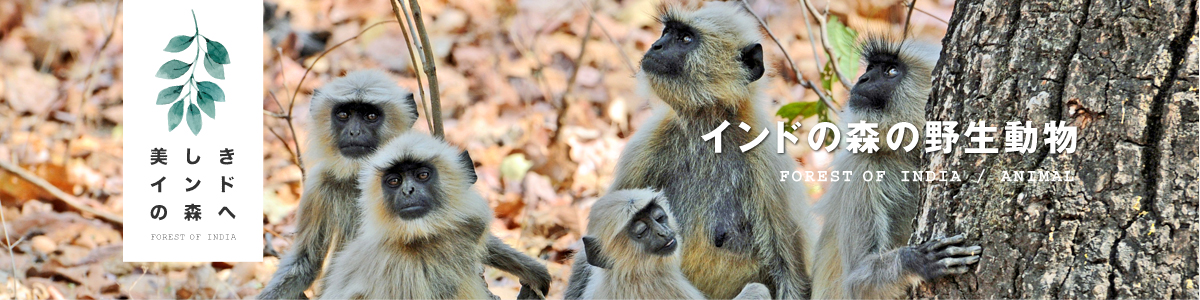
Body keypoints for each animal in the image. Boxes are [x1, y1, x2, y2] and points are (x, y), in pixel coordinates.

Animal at [806, 36, 984, 298]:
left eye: (891, 71)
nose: (863, 79)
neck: (907, 155)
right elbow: (856, 284)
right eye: (871, 68)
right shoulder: (861, 166)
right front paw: (917, 261)